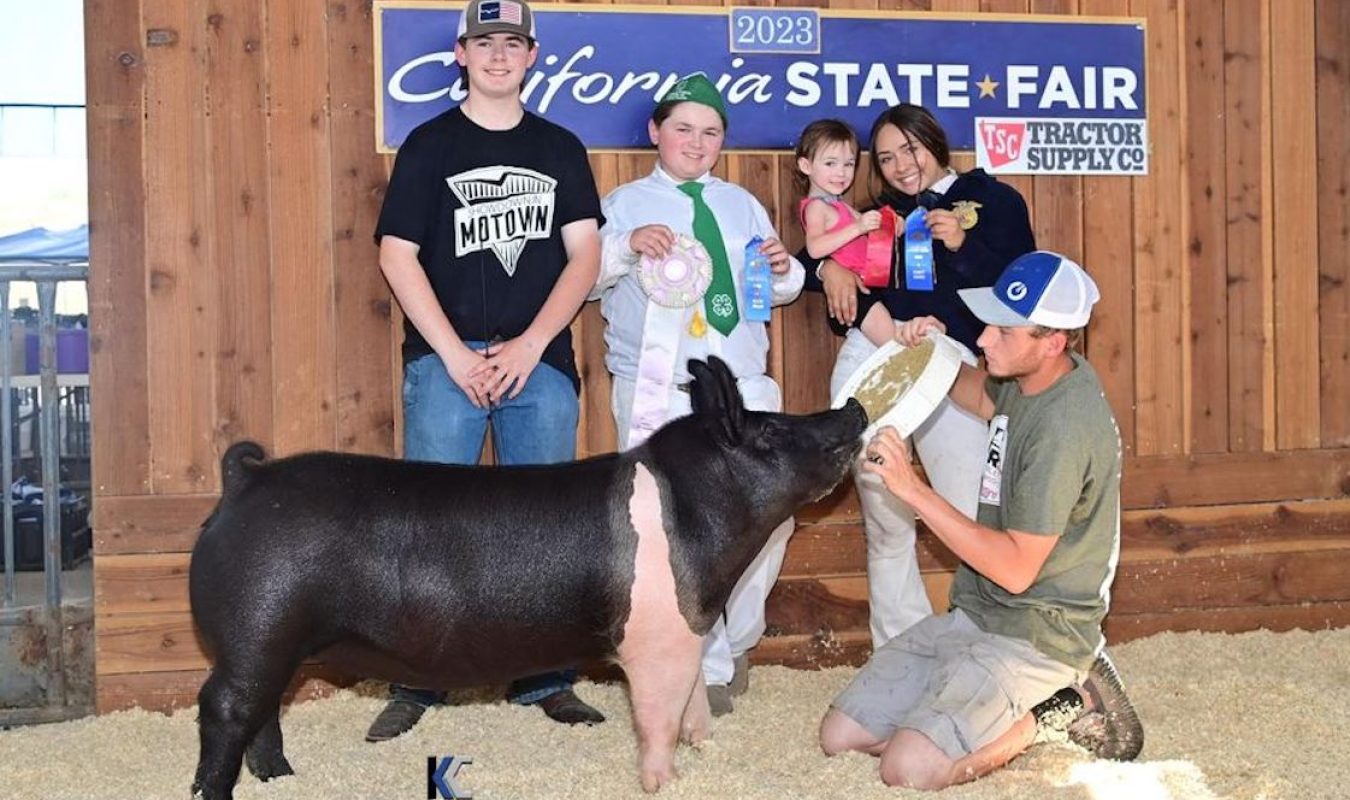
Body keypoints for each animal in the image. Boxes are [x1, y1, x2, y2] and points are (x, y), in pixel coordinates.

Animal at [187, 356, 864, 798]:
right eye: (770, 430)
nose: (852, 409)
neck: (694, 517)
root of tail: (245, 480)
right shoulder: (653, 640)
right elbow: (657, 717)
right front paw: (660, 782)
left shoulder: (688, 630)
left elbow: (694, 706)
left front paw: (703, 751)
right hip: (258, 622)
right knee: (225, 706)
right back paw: (216, 791)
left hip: (277, 639)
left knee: (265, 708)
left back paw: (282, 778)